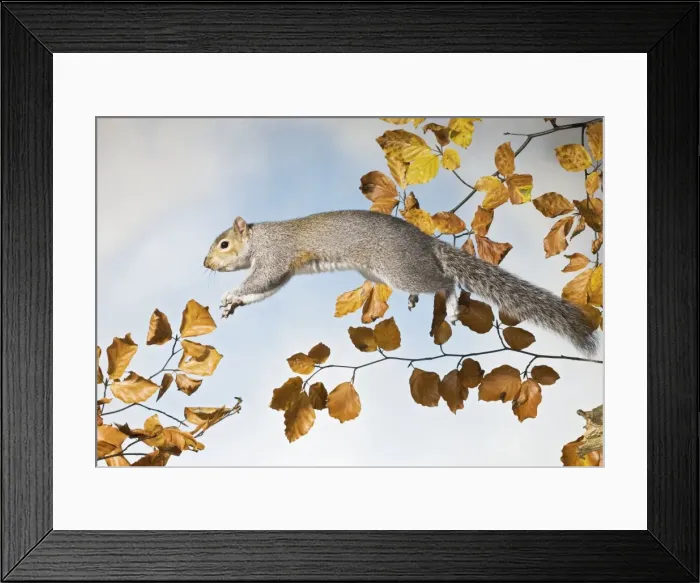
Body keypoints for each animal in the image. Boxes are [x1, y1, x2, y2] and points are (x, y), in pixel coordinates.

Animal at [204, 210, 598, 356]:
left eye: (223, 244)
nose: (205, 263)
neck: (259, 238)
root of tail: (425, 241)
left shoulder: (275, 257)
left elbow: (261, 280)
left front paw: (231, 293)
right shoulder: (282, 270)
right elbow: (266, 289)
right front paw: (232, 303)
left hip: (400, 268)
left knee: (446, 280)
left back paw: (450, 304)